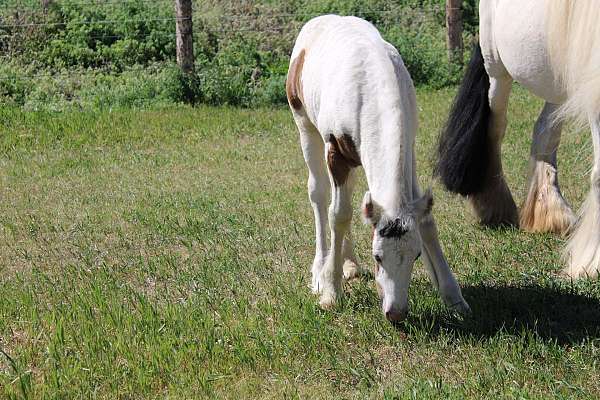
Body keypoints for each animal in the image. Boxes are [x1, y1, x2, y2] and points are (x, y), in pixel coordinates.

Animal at [288, 14, 472, 324]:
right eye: (377, 257)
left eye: (416, 256)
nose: (395, 313)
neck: (370, 87)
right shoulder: (335, 153)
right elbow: (338, 214)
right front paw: (331, 292)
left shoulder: (409, 151)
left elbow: (425, 220)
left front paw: (453, 297)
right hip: (304, 125)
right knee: (321, 197)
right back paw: (320, 269)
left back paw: (349, 264)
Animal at [436, 0, 600, 278]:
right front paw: (591, 262)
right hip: (497, 72)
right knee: (495, 130)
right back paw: (495, 206)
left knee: (544, 132)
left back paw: (550, 213)